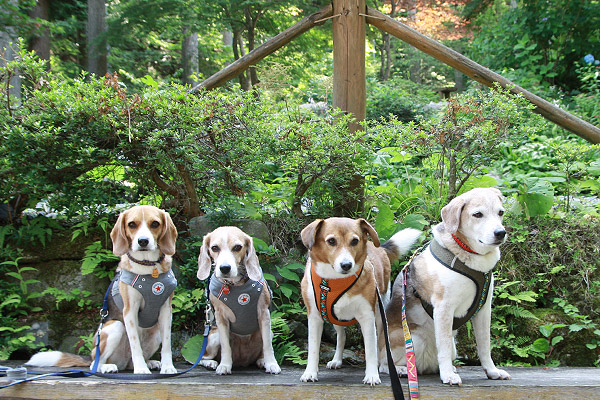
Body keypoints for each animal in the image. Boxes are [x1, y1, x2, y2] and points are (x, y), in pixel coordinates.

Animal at [27, 206, 178, 376]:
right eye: (132, 224)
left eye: (155, 224)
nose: (143, 241)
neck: (148, 267)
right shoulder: (129, 311)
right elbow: (135, 345)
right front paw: (141, 369)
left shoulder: (166, 311)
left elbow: (167, 345)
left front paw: (167, 366)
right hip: (114, 327)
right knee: (95, 363)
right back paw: (108, 366)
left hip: (155, 334)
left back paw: (150, 363)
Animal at [197, 227, 282, 376]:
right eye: (214, 248)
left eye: (237, 247)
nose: (225, 268)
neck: (235, 285)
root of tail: (242, 362)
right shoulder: (220, 318)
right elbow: (226, 346)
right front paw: (224, 366)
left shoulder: (264, 314)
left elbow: (268, 346)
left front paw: (271, 364)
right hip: (214, 337)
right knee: (203, 357)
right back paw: (211, 363)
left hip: (268, 333)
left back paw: (262, 361)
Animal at [298, 217, 420, 386]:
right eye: (331, 241)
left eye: (354, 241)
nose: (346, 265)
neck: (335, 281)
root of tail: (379, 247)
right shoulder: (315, 317)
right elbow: (314, 348)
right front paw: (310, 372)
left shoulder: (367, 317)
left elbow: (370, 349)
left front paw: (372, 375)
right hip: (334, 317)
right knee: (341, 336)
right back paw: (337, 360)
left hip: (380, 312)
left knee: (381, 344)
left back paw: (385, 366)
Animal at [384, 189, 510, 386]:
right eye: (477, 214)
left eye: (500, 212)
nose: (500, 233)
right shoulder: (444, 308)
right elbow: (442, 345)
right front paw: (448, 376)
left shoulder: (484, 310)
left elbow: (484, 346)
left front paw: (492, 371)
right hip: (415, 338)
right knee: (384, 364)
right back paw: (403, 369)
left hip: (453, 347)